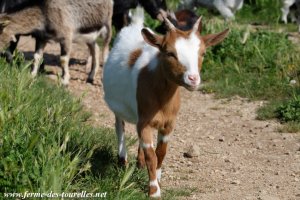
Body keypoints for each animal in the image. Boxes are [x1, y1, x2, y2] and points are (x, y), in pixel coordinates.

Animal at [102, 8, 229, 198]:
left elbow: (161, 153)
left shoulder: (168, 124)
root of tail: (134, 26)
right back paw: (122, 160)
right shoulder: (145, 122)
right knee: (119, 127)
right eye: (169, 53)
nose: (193, 79)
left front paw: (159, 180)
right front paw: (154, 190)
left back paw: (138, 163)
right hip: (117, 106)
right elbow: (151, 155)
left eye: (203, 53)